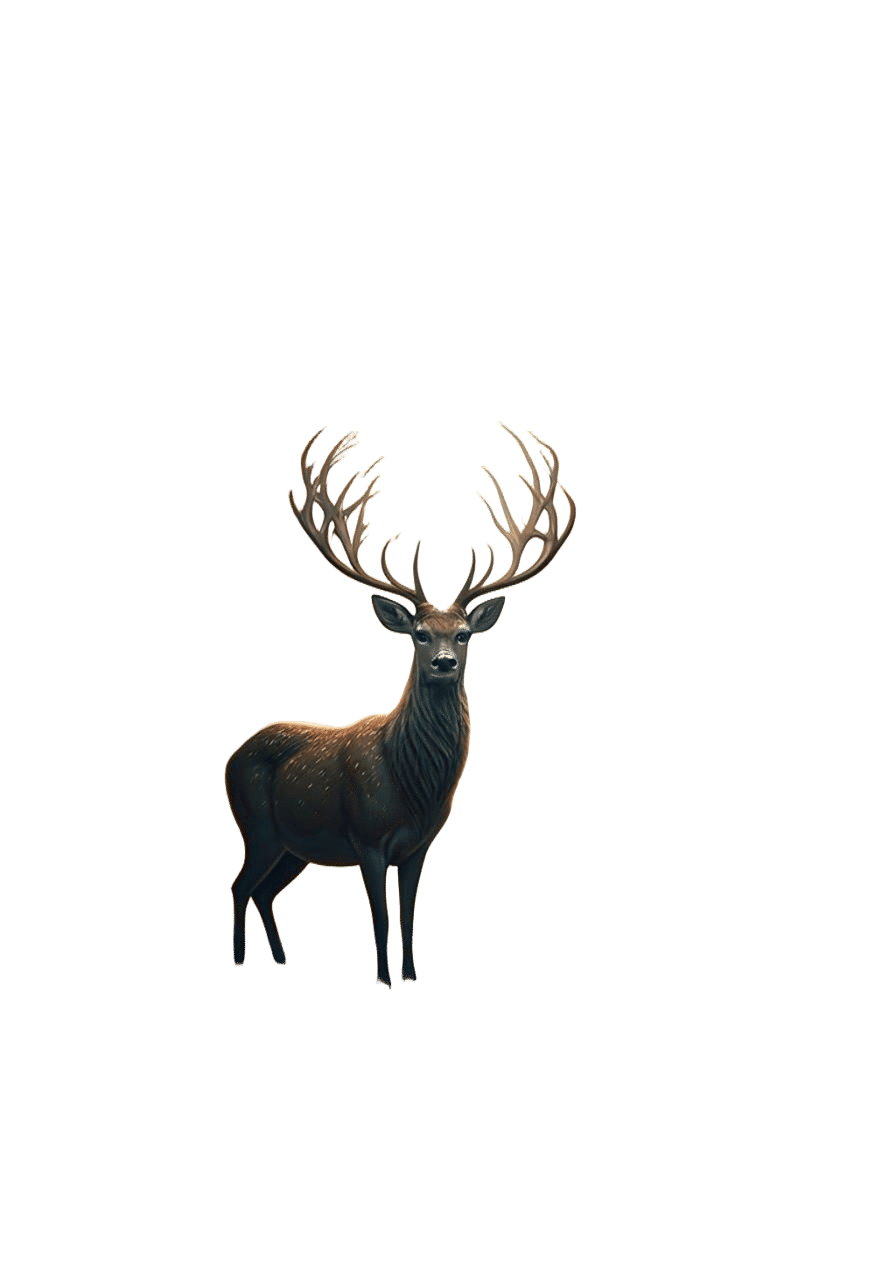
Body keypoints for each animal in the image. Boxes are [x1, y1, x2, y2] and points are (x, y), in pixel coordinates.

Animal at [224, 420, 576, 988]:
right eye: (418, 633)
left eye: (462, 634)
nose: (444, 662)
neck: (413, 783)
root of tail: (233, 755)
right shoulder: (366, 836)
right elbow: (381, 915)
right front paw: (383, 981)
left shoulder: (419, 844)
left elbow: (410, 911)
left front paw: (411, 977)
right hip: (256, 824)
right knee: (240, 885)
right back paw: (239, 960)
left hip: (293, 845)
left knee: (262, 890)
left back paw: (280, 960)